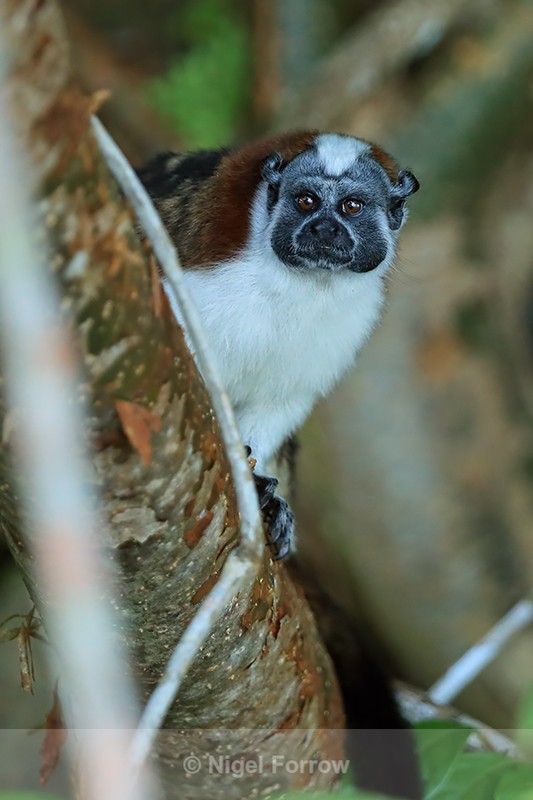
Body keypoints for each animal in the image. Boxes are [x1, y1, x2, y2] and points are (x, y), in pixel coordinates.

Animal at [137, 131, 422, 799]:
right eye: (307, 200)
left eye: (350, 208)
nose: (322, 230)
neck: (304, 287)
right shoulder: (202, 277)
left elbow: (278, 407)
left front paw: (264, 495)